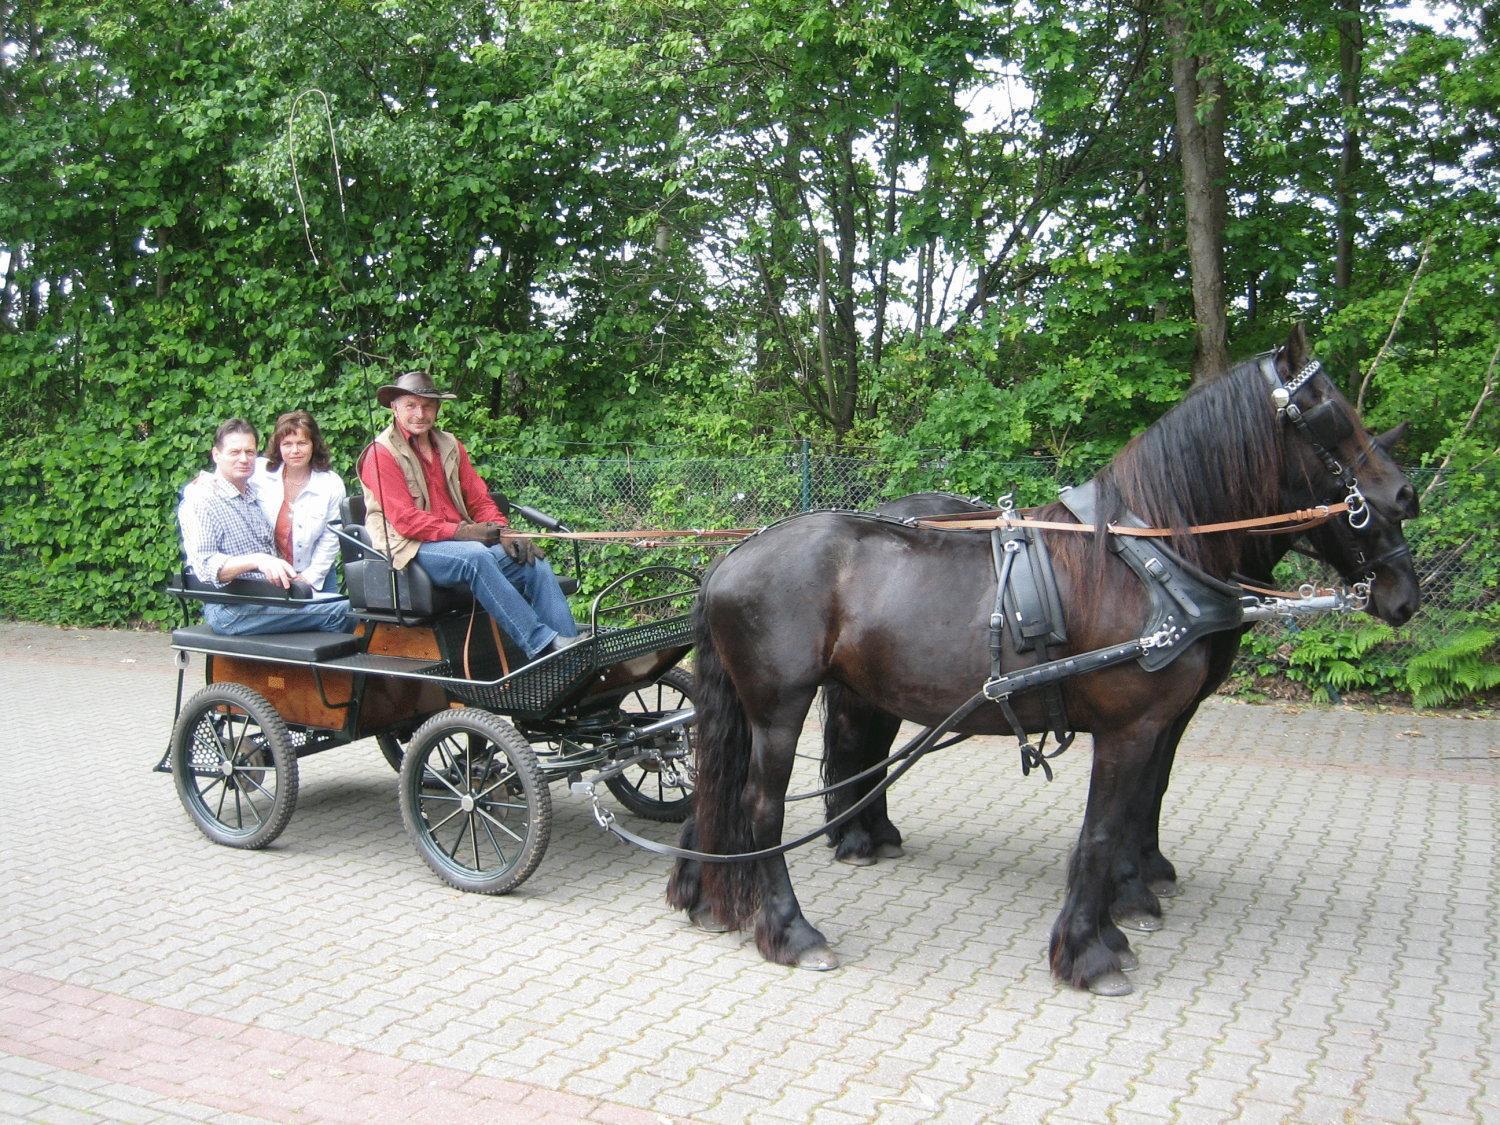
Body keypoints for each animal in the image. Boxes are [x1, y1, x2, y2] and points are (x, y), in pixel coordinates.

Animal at [669, 328, 1416, 996]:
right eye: (1330, 413)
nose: (1402, 497)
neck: (1147, 558)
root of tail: (731, 558)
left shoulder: (1165, 719)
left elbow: (1140, 807)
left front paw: (1123, 909)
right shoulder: (1132, 726)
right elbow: (1104, 831)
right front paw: (1091, 948)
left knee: (735, 783)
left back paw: (714, 888)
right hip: (778, 706)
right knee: (760, 804)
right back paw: (789, 929)